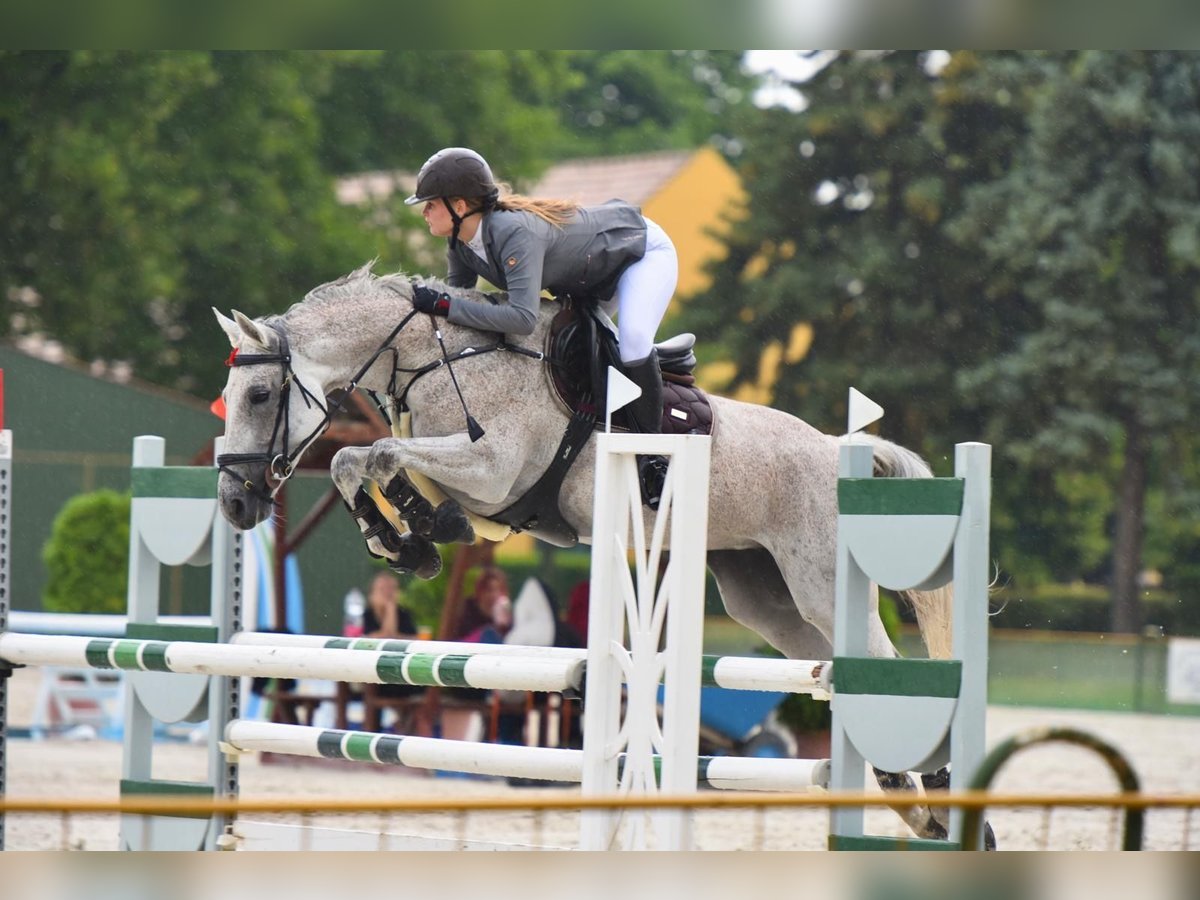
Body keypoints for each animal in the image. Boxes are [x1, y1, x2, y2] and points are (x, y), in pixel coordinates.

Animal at [213, 262, 964, 844]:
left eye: (260, 393)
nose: (235, 504)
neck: (440, 358)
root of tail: (838, 451)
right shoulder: (473, 484)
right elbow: (357, 460)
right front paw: (406, 539)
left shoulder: (491, 471)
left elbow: (376, 454)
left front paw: (423, 531)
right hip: (766, 599)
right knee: (835, 667)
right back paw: (913, 801)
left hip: (819, 581)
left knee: (887, 666)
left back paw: (929, 790)